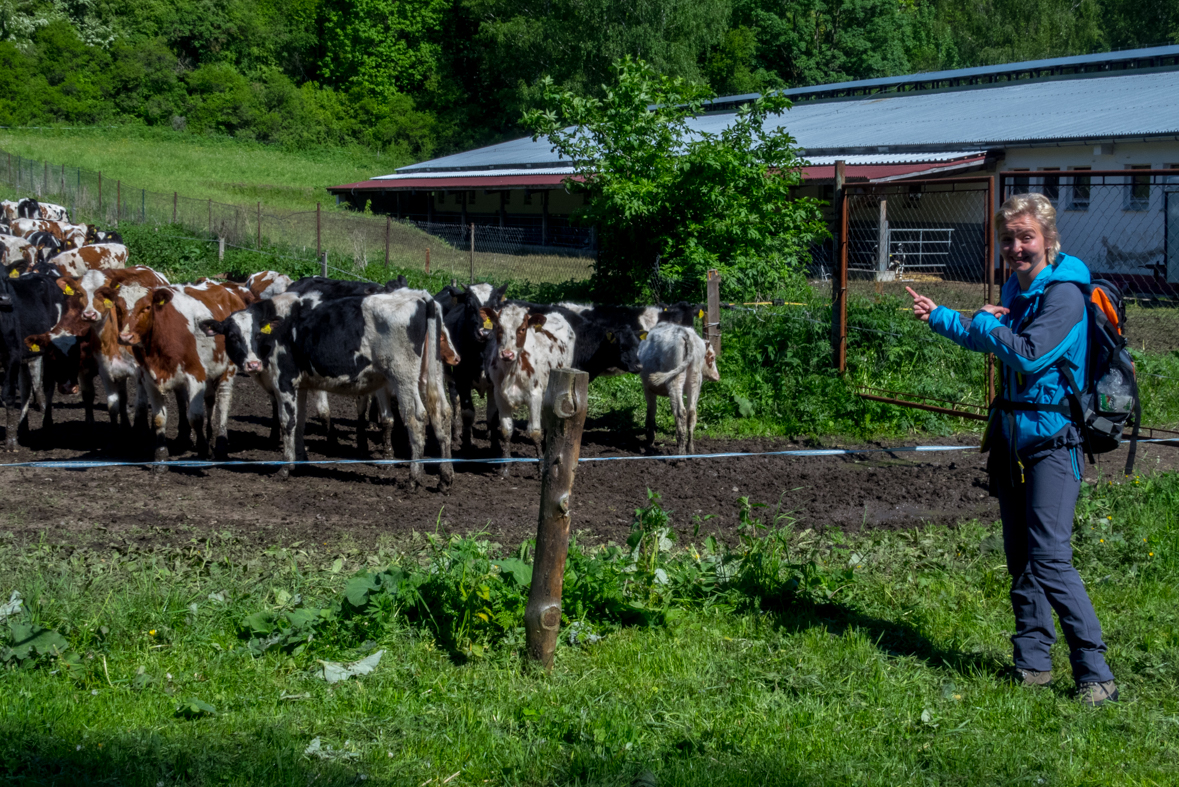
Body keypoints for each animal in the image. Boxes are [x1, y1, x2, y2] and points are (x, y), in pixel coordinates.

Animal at [200, 288, 457, 485]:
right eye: (232, 336)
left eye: (256, 334)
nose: (252, 364)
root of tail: (420, 296)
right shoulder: (301, 385)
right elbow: (300, 423)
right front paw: (301, 462)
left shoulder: (284, 380)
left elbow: (288, 423)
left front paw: (285, 468)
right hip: (430, 374)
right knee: (442, 413)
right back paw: (445, 476)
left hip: (402, 378)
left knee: (416, 418)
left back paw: (415, 477)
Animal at [641, 320, 712, 454]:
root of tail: (685, 333)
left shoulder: (647, 387)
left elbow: (651, 410)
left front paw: (650, 438)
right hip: (695, 379)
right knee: (691, 412)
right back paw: (690, 449)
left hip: (674, 380)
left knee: (680, 412)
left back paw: (681, 453)